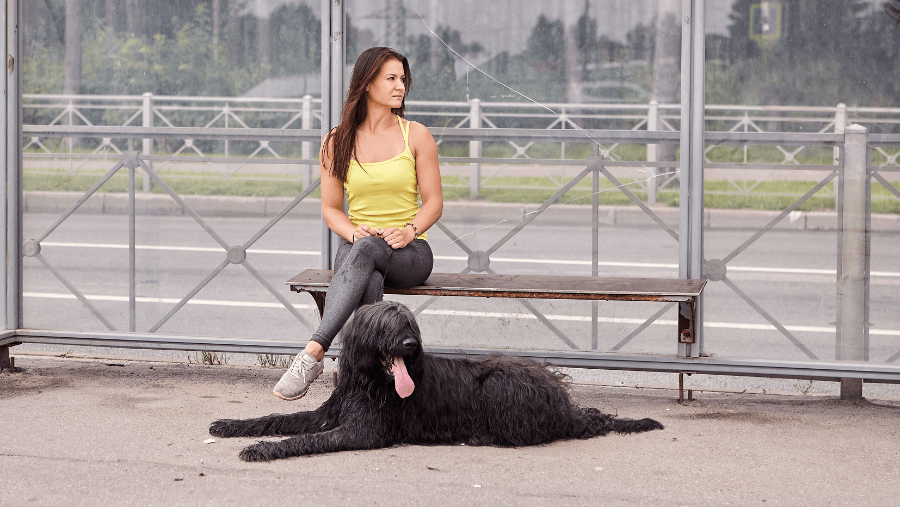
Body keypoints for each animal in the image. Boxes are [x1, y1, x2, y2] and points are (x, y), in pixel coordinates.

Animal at [209, 302, 660, 464]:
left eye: (409, 323)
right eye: (387, 324)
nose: (410, 345)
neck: (370, 381)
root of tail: (566, 403)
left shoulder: (363, 429)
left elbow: (304, 438)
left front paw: (261, 448)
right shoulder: (330, 412)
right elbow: (278, 418)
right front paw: (231, 427)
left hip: (499, 384)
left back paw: (480, 436)